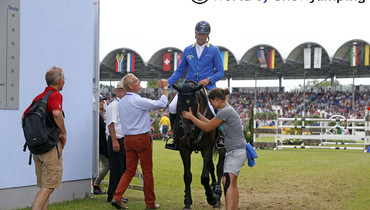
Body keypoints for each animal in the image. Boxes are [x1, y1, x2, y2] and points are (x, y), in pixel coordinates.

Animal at [171, 79, 225, 209]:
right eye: (180, 103)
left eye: (196, 103)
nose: (188, 130)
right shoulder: (184, 149)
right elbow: (187, 176)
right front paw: (187, 202)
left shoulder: (207, 148)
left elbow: (204, 177)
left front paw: (211, 198)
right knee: (211, 167)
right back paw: (214, 188)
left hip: (222, 149)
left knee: (219, 167)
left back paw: (217, 194)